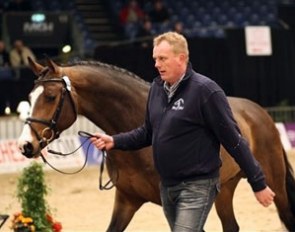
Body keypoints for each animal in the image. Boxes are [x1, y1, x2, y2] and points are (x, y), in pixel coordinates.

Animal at [17, 58, 295, 232]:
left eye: (50, 96)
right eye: (29, 97)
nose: (25, 145)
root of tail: (259, 113)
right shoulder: (126, 201)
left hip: (275, 185)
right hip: (224, 189)